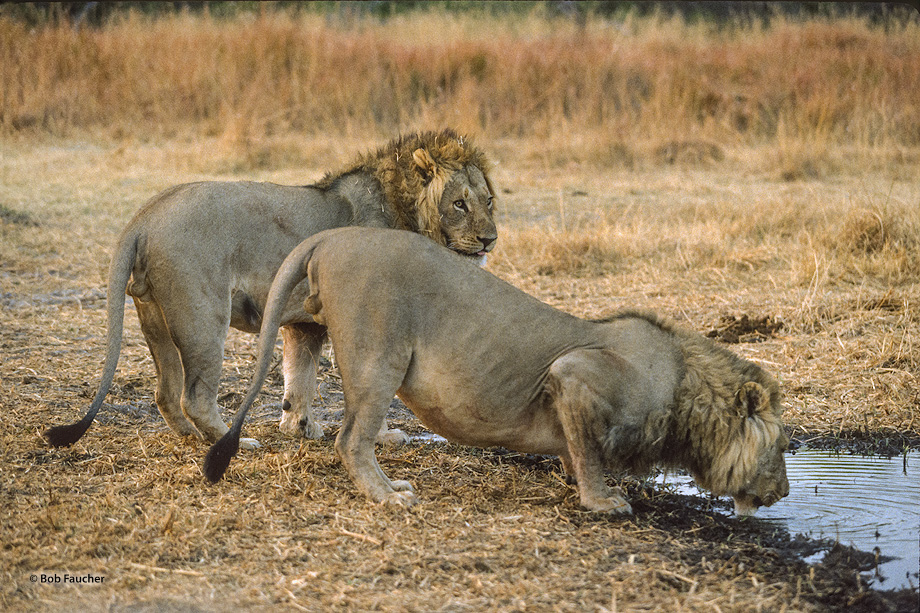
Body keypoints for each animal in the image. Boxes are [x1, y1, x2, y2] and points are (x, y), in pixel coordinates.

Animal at [45, 126, 496, 448]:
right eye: (459, 203)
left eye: (488, 201)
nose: (490, 239)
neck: (403, 209)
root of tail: (145, 214)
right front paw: (384, 435)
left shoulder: (303, 324)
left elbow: (300, 377)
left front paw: (300, 427)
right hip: (204, 317)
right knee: (194, 396)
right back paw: (234, 441)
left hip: (154, 317)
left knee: (165, 393)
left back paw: (193, 438)